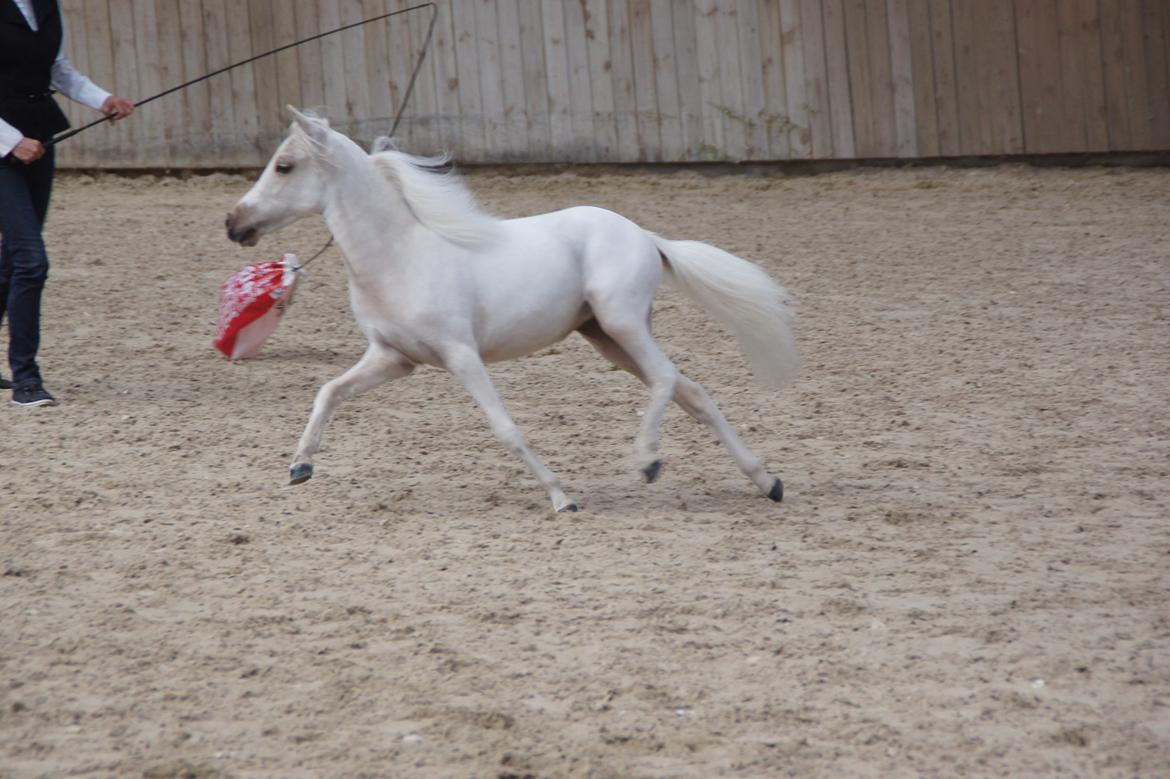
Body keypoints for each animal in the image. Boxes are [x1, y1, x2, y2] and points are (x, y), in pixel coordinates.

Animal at [223, 107, 800, 509]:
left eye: (284, 166)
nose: (234, 223)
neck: (400, 257)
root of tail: (644, 235)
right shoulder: (393, 358)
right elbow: (329, 392)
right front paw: (299, 468)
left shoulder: (461, 355)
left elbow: (505, 428)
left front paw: (563, 498)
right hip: (606, 338)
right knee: (693, 393)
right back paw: (767, 482)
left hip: (621, 323)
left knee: (665, 378)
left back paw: (648, 462)